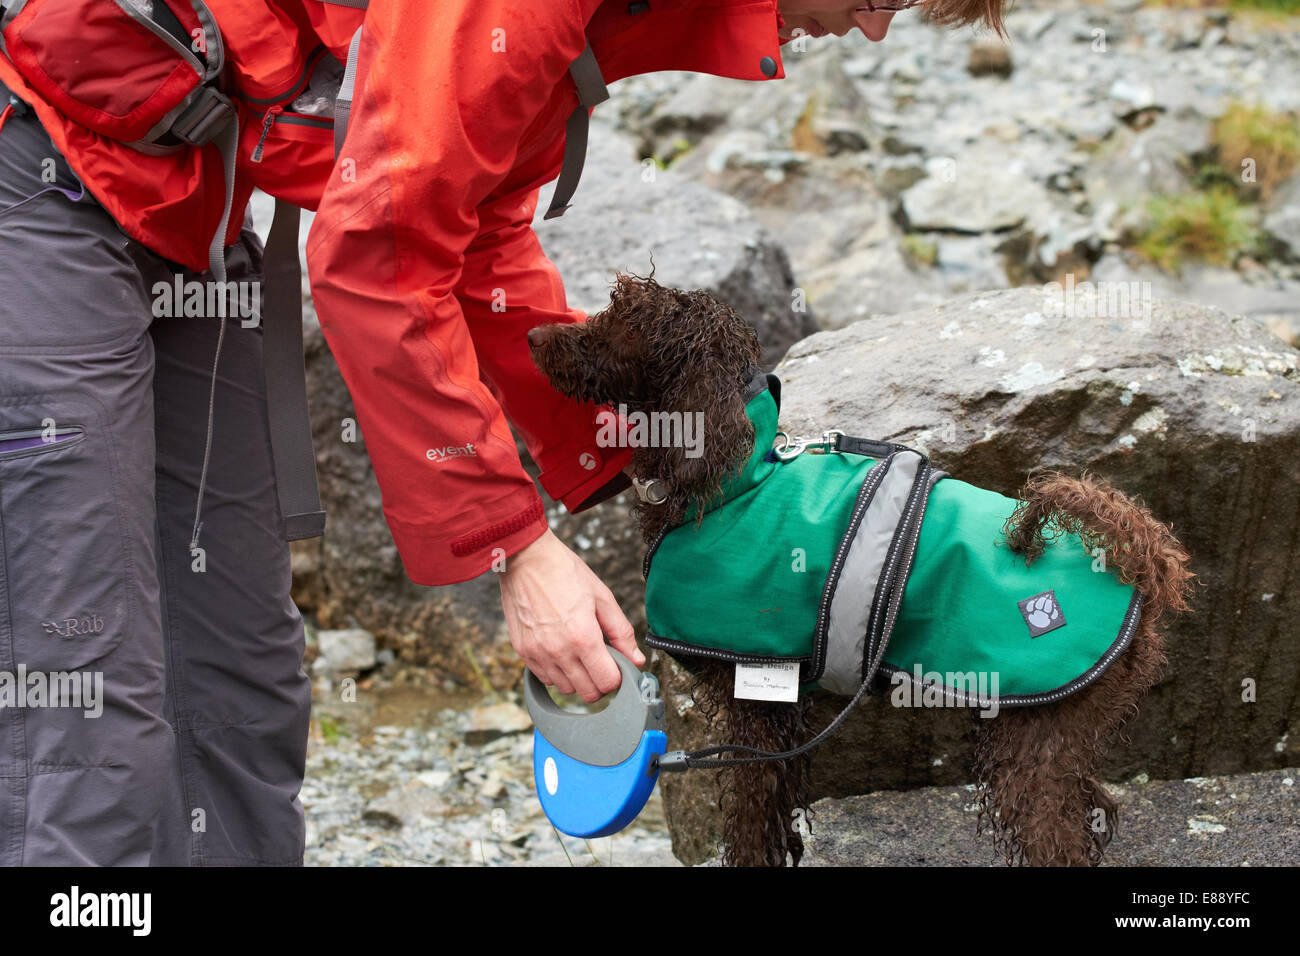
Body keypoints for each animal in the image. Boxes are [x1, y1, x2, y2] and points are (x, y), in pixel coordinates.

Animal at [525, 269, 1190, 868]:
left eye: (620, 324)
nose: (531, 334)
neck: (737, 482)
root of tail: (1142, 568)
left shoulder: (753, 705)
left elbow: (749, 821)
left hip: (1037, 740)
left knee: (1059, 840)